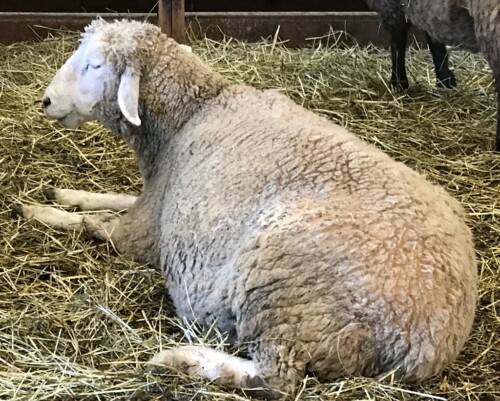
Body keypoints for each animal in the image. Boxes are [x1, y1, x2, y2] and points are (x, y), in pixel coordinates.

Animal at [11, 18, 478, 396]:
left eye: (94, 66)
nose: (46, 101)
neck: (191, 114)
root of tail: (429, 341)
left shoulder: (141, 234)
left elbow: (93, 223)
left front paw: (37, 211)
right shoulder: (153, 203)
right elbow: (109, 198)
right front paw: (62, 193)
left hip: (285, 290)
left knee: (274, 379)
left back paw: (179, 359)